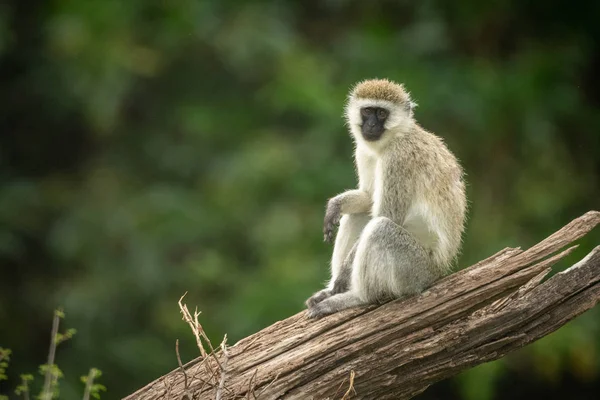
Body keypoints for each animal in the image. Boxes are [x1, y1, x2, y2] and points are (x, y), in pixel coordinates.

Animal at [308, 79, 466, 318]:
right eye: (367, 111)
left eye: (382, 113)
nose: (371, 125)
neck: (395, 138)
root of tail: (439, 271)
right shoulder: (362, 151)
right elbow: (368, 197)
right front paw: (335, 205)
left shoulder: (398, 158)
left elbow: (387, 215)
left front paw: (344, 275)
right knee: (357, 216)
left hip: (415, 270)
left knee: (380, 227)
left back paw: (356, 297)